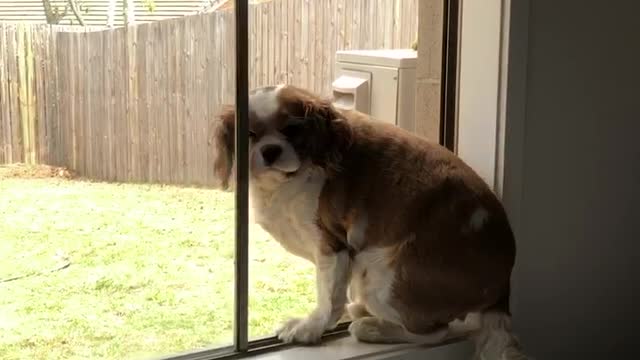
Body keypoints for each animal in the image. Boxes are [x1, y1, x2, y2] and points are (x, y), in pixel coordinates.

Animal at [212, 85, 528, 360]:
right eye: (249, 134)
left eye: (292, 130)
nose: (270, 150)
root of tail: (503, 289)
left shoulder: (332, 246)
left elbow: (328, 298)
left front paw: (308, 328)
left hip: (381, 275)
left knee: (435, 332)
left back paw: (371, 327)